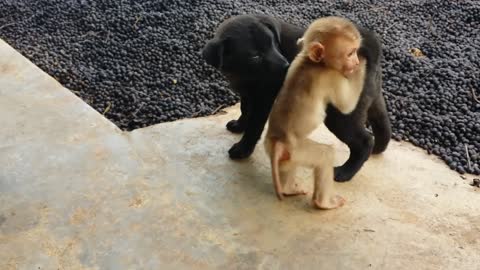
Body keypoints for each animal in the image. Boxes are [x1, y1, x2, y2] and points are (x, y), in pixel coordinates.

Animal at [201, 15, 392, 184]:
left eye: (274, 44)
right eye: (254, 56)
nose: (286, 66)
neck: (244, 74)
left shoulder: (263, 97)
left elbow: (254, 126)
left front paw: (242, 149)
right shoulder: (247, 92)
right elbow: (245, 110)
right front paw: (239, 125)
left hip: (341, 115)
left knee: (364, 141)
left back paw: (346, 172)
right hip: (371, 99)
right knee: (381, 123)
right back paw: (378, 149)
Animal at [264, 16, 366, 210]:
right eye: (350, 53)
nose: (356, 61)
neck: (311, 62)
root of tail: (278, 141)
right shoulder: (332, 77)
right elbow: (346, 105)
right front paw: (362, 67)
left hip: (288, 155)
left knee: (287, 166)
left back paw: (288, 189)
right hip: (298, 150)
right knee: (325, 155)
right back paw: (324, 203)